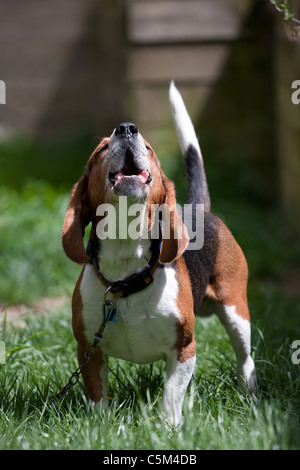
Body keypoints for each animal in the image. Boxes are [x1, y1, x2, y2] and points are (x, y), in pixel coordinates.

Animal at [62, 81, 256, 426]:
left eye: (149, 148)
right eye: (101, 149)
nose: (126, 128)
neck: (126, 275)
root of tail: (199, 209)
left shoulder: (184, 348)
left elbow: (171, 398)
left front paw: (169, 429)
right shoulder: (89, 350)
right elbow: (98, 398)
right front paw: (101, 429)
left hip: (236, 312)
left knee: (245, 359)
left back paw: (249, 395)